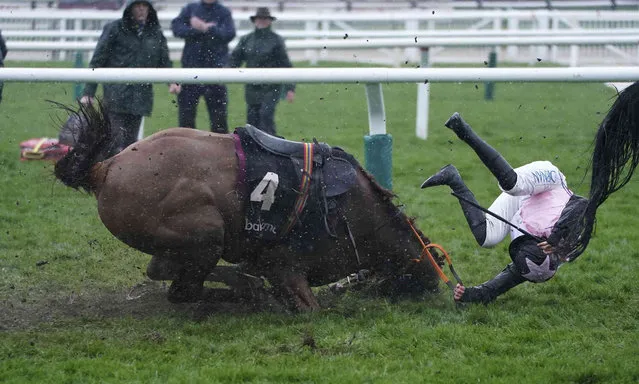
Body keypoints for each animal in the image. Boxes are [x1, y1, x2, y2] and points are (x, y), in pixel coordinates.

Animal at [55, 103, 442, 312]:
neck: (353, 210)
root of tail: (106, 167)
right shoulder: (285, 265)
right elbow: (309, 308)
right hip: (206, 231)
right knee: (182, 289)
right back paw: (246, 291)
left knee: (164, 272)